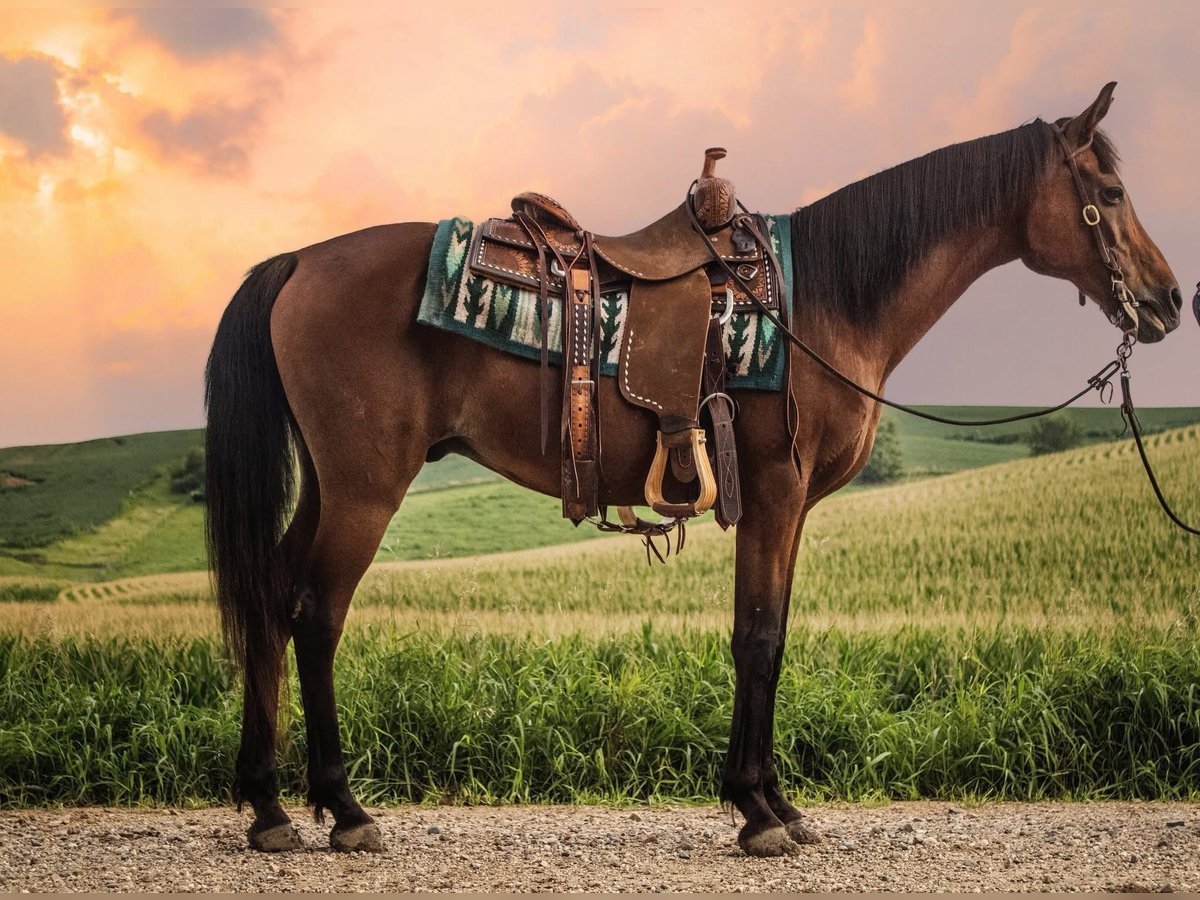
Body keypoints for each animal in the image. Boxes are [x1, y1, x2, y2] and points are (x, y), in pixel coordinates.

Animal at [203, 82, 1182, 857]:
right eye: (1110, 191)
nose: (1170, 299)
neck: (825, 301)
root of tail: (300, 260)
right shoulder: (776, 494)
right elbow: (759, 637)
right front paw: (756, 811)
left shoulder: (789, 509)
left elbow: (770, 635)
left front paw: (776, 800)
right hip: (366, 489)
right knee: (315, 614)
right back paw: (342, 808)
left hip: (329, 485)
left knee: (271, 601)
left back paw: (268, 806)